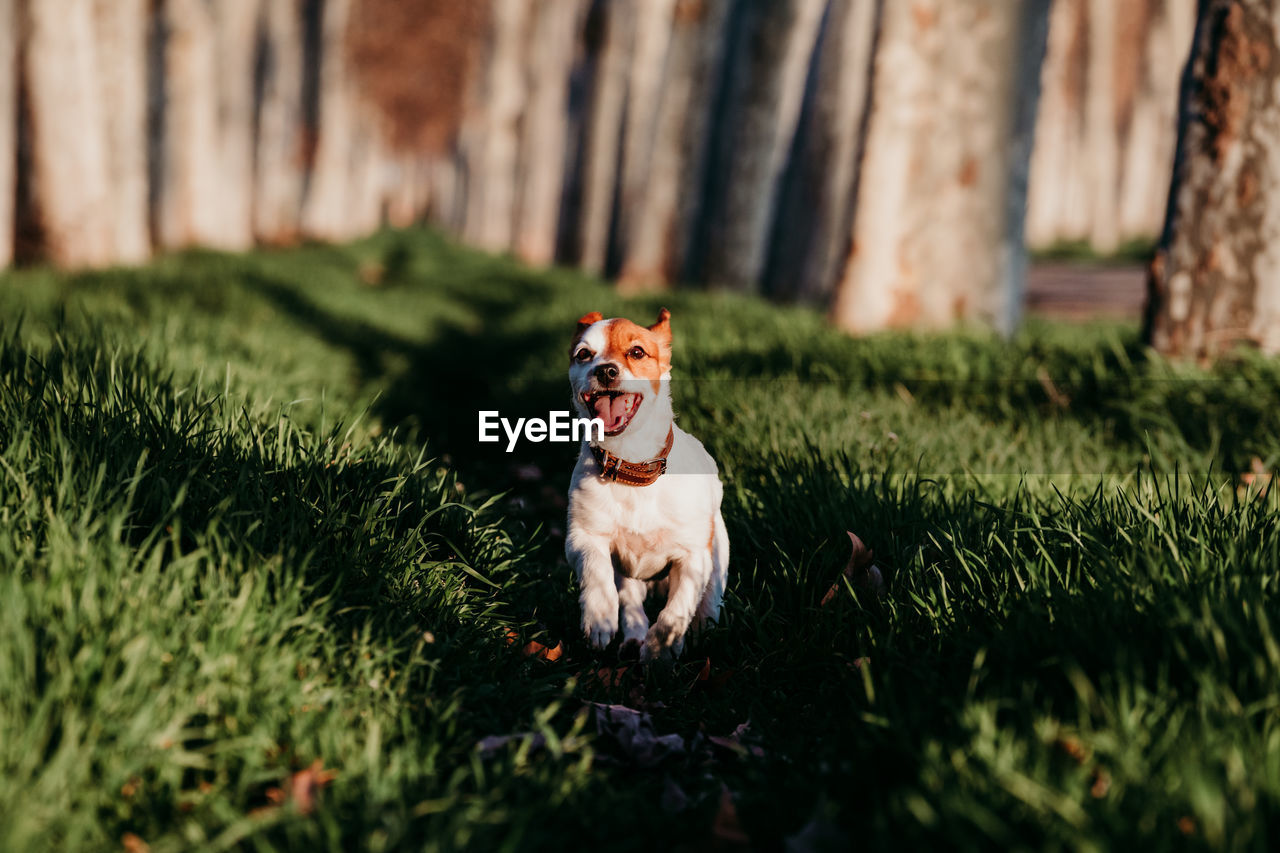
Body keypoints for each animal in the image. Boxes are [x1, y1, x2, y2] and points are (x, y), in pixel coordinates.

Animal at [563, 307, 732, 655]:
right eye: (584, 354)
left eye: (637, 352)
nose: (605, 371)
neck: (633, 469)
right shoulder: (583, 536)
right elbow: (595, 570)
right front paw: (600, 617)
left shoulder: (693, 557)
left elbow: (677, 609)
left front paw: (661, 645)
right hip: (628, 575)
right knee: (630, 601)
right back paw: (633, 636)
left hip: (718, 558)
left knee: (706, 604)